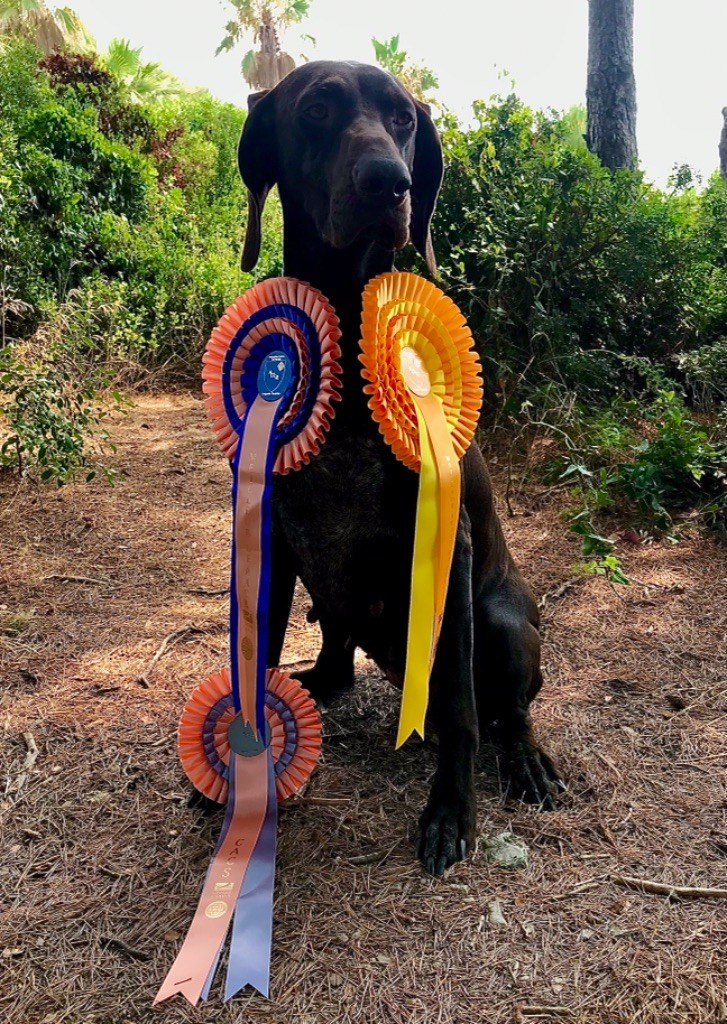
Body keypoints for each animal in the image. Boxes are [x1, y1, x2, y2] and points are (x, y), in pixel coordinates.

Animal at [237, 58, 565, 872]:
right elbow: (260, 655)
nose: (390, 183)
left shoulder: (449, 550)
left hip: (501, 618)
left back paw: (526, 760)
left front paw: (451, 813)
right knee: (337, 646)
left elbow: (461, 710)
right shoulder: (275, 534)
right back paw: (322, 684)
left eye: (404, 119)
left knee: (504, 709)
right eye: (317, 108)